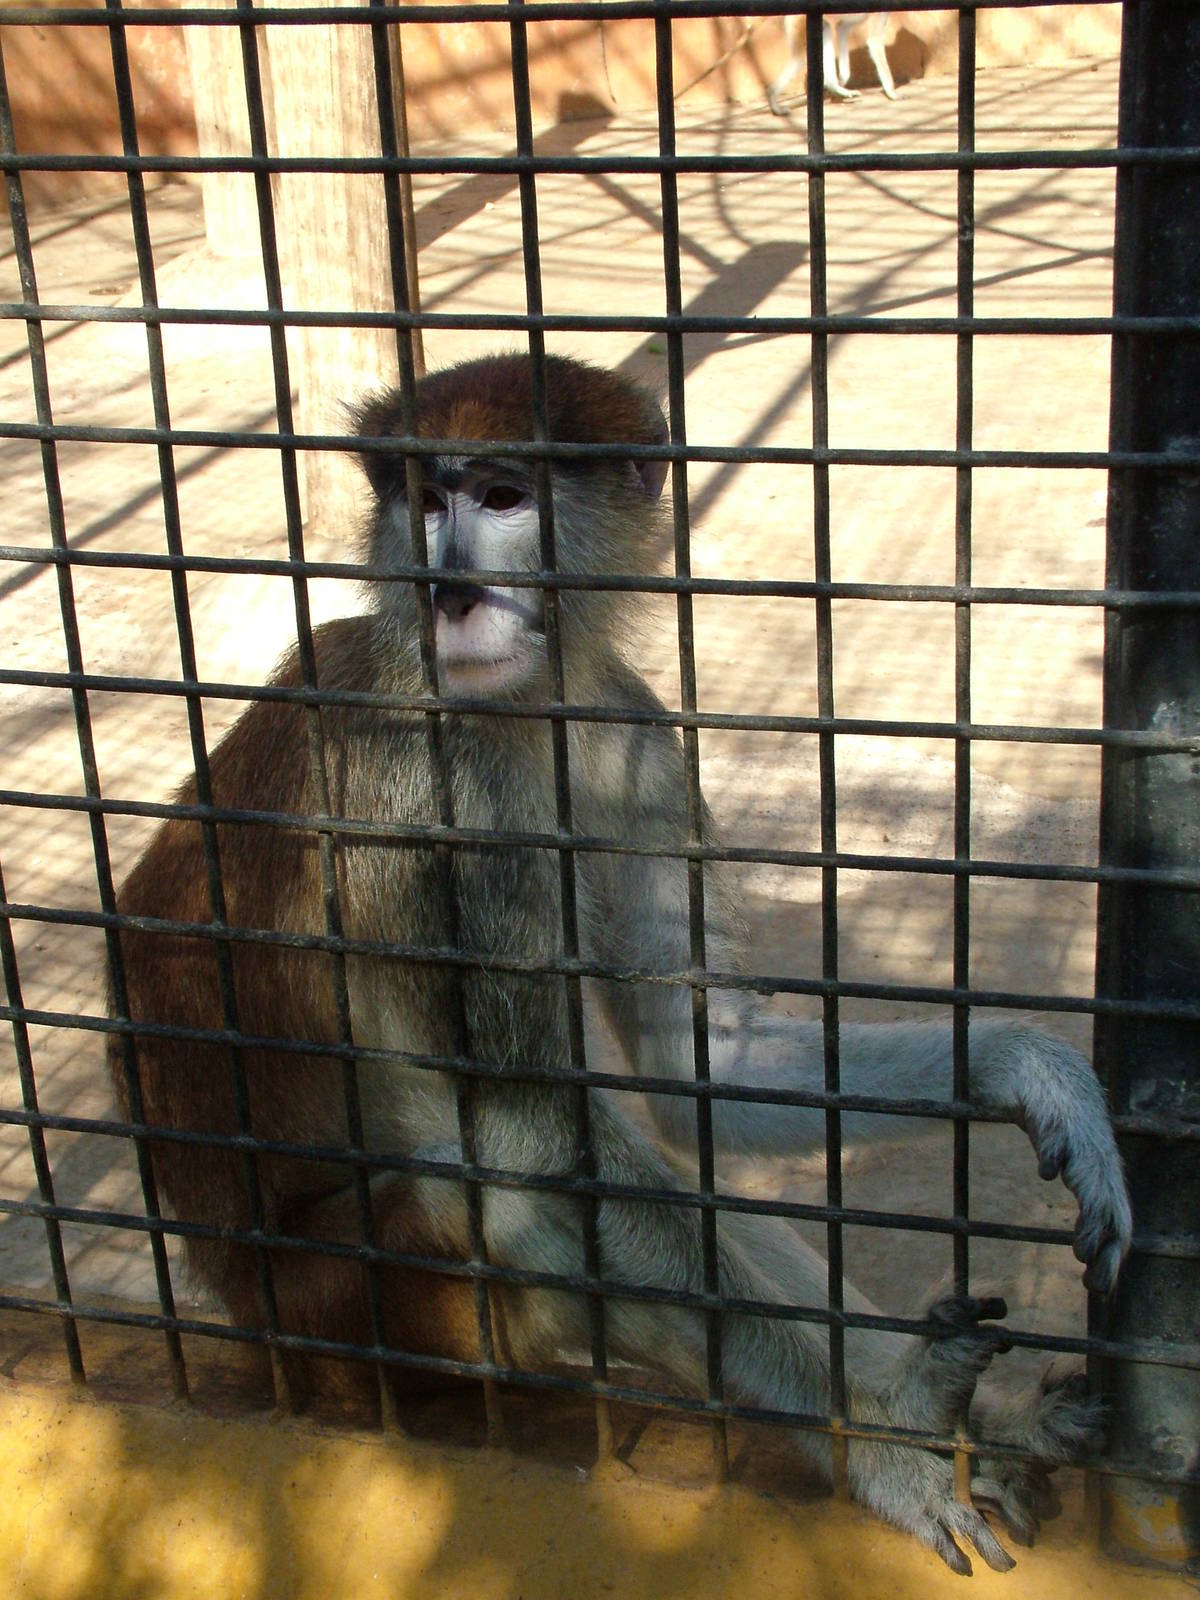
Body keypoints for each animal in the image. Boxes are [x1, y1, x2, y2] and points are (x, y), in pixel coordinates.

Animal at [110, 352, 1131, 1574]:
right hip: (354, 1312)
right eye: (426, 499)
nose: (453, 593)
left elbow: (702, 1063)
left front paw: (1029, 1068)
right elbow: (534, 1142)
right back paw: (893, 1416)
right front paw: (878, 1438)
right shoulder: (435, 801)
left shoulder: (630, 732)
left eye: (503, 497)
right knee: (503, 1202)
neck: (510, 701)